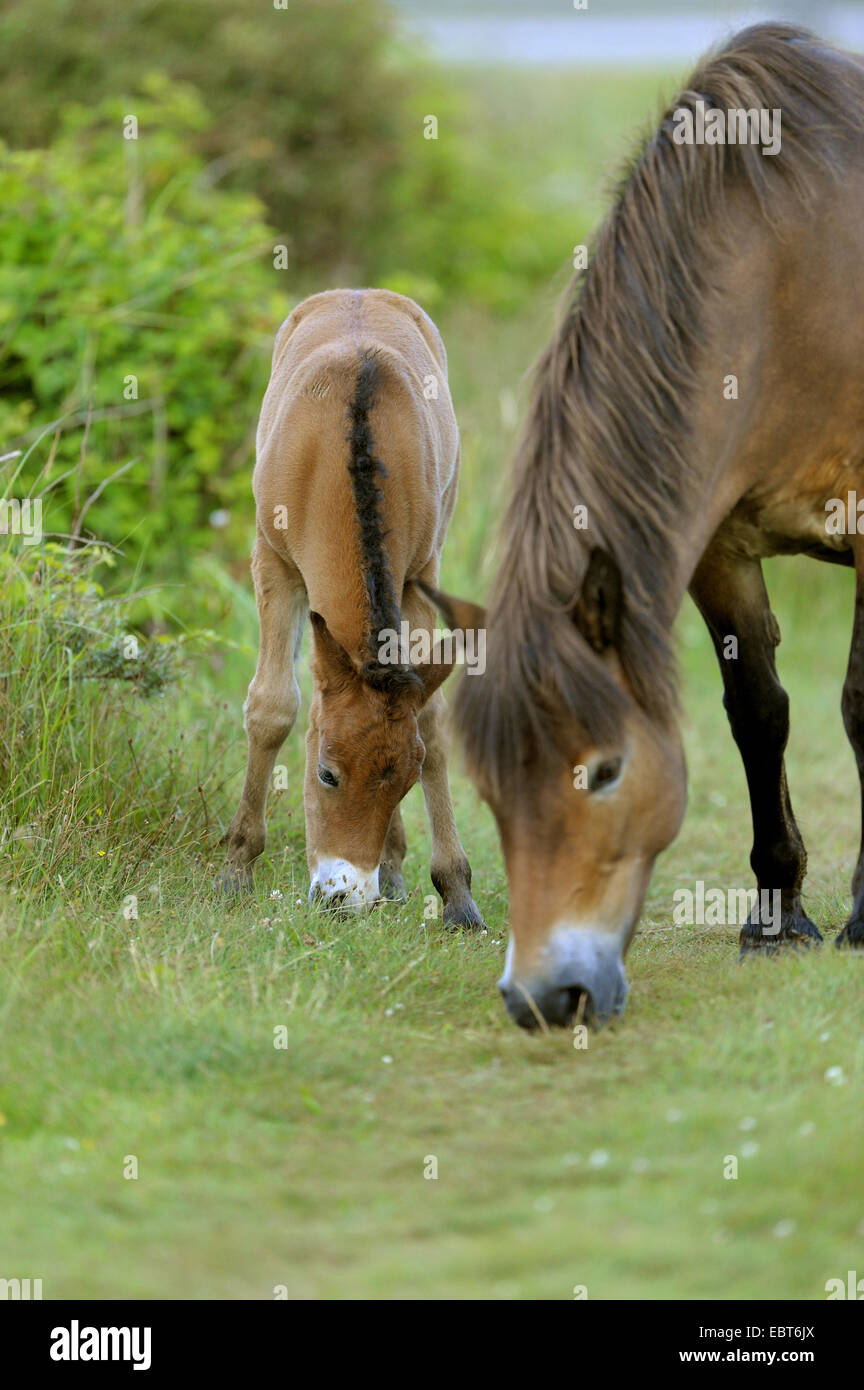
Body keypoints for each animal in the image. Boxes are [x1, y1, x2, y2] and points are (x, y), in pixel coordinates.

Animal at [219, 287, 483, 928]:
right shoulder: (273, 562)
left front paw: (455, 891)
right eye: (325, 773)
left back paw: (395, 871)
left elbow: (430, 722)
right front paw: (236, 868)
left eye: (403, 783)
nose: (344, 897)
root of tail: (358, 291)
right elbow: (272, 707)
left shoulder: (417, 580)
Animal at [433, 16, 864, 1028]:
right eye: (491, 785)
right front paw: (777, 916)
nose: (543, 996)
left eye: (605, 770)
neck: (794, 276)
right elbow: (759, 714)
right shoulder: (715, 544)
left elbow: (862, 704)